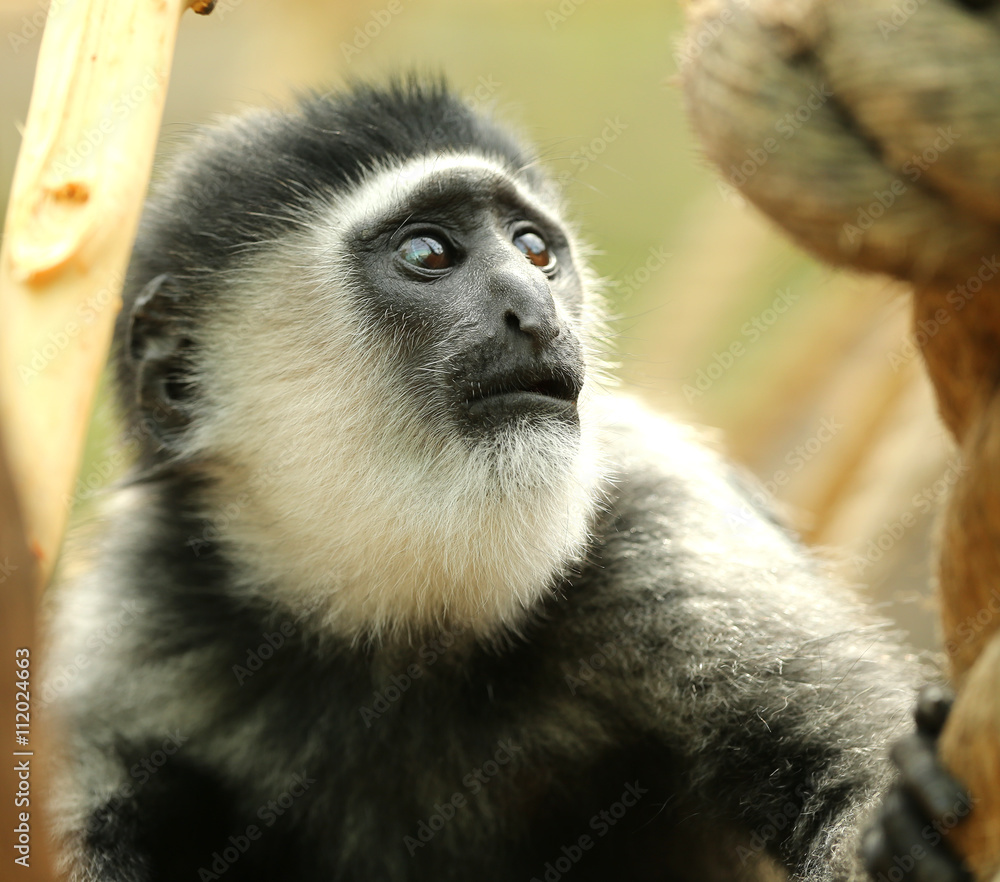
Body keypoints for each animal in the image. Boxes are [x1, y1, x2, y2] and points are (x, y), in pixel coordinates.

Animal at [44, 78, 971, 882]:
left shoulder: (664, 538)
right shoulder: (121, 657)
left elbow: (845, 761)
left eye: (535, 251)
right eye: (429, 252)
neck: (397, 620)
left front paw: (904, 819)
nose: (537, 310)